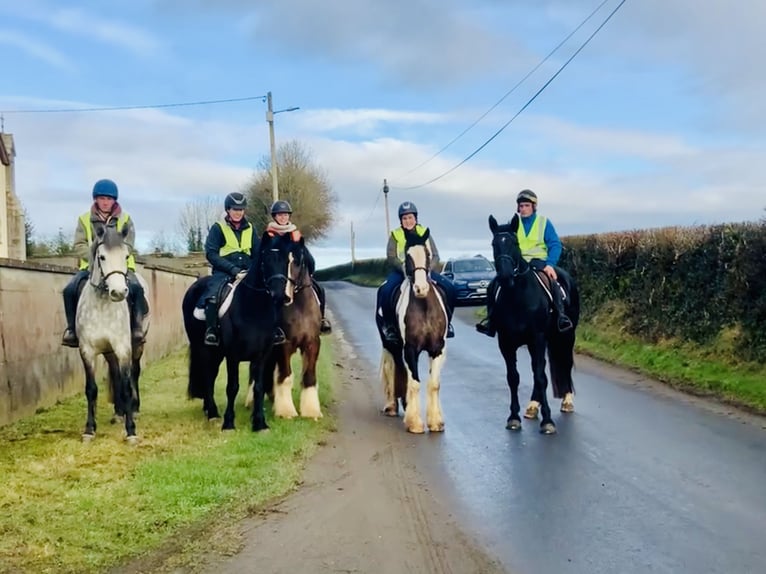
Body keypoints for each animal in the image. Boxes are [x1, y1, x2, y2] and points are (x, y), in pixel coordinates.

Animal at [183, 232, 296, 434]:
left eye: (286, 260)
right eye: (265, 260)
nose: (279, 296)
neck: (252, 307)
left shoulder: (261, 355)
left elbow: (258, 387)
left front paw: (259, 423)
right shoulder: (233, 355)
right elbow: (232, 387)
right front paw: (229, 423)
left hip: (216, 353)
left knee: (210, 375)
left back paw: (208, 409)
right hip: (204, 349)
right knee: (207, 376)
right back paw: (213, 413)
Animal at [376, 230, 450, 436]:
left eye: (427, 253)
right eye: (408, 256)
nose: (421, 288)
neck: (424, 307)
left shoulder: (437, 349)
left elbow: (434, 384)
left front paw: (436, 422)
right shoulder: (410, 349)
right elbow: (414, 383)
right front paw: (415, 423)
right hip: (391, 344)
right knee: (393, 369)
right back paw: (393, 406)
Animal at [488, 216, 580, 436]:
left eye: (514, 243)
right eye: (494, 244)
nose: (505, 276)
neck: (518, 297)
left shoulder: (536, 339)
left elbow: (540, 377)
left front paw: (547, 421)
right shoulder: (506, 342)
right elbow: (513, 377)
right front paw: (513, 417)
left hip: (566, 337)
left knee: (564, 363)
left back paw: (567, 400)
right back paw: (532, 406)